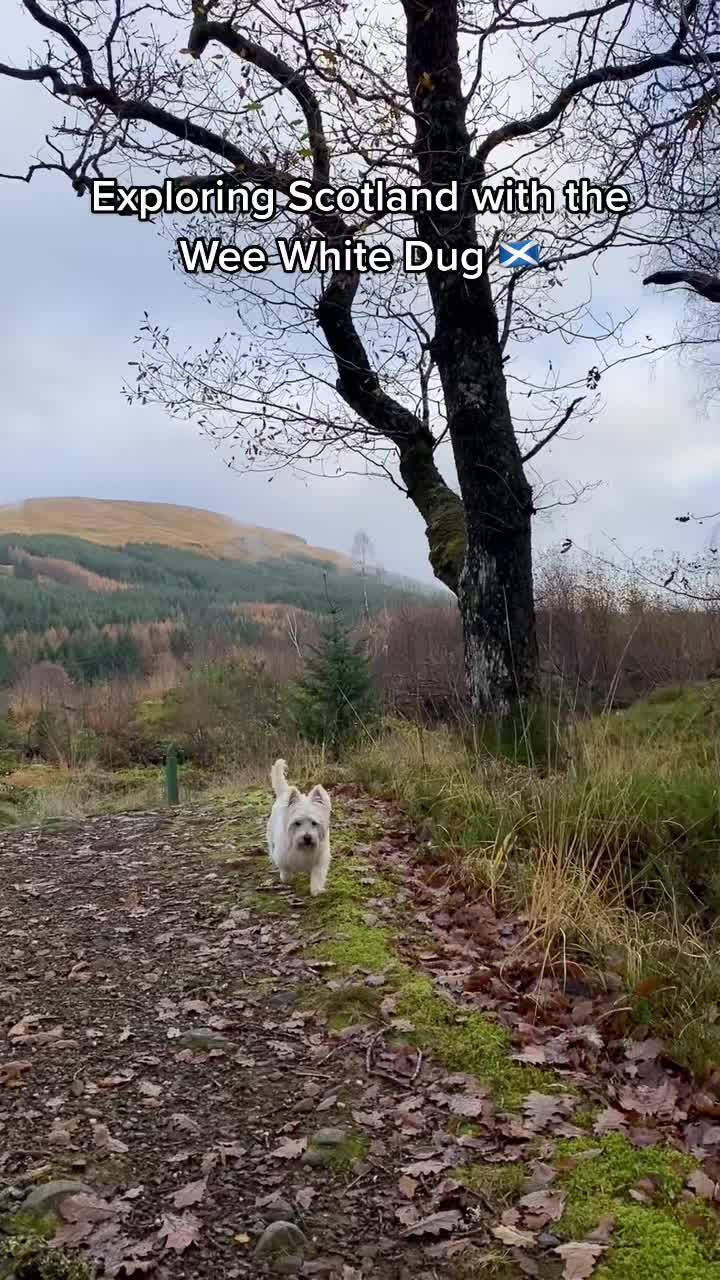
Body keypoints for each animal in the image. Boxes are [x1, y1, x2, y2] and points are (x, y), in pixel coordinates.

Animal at [265, 752, 333, 896]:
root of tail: (284, 792)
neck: (303, 848)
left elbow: (318, 874)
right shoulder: (283, 855)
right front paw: (286, 878)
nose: (307, 837)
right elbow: (285, 870)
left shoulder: (320, 858)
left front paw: (316, 890)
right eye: (297, 823)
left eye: (314, 823)